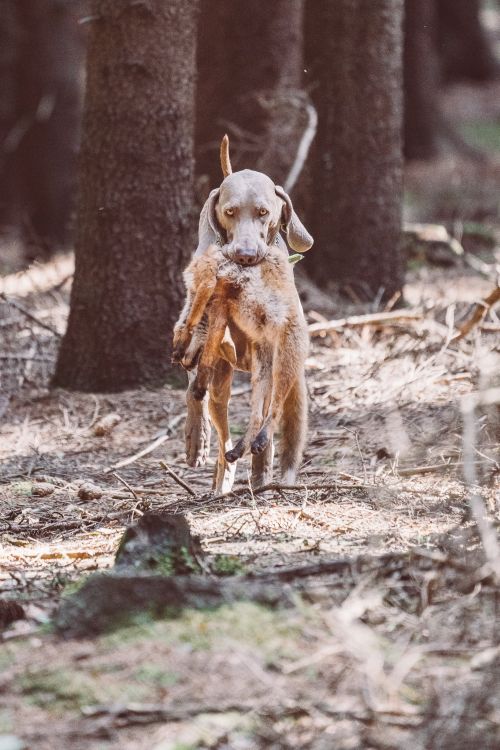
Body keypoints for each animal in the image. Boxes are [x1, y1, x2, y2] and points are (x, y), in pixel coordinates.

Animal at [176, 138, 312, 496]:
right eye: (229, 211)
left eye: (264, 212)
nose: (247, 256)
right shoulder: (203, 335)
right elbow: (193, 384)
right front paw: (195, 439)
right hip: (227, 383)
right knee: (225, 434)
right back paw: (223, 466)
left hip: (281, 372)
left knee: (268, 420)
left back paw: (260, 461)